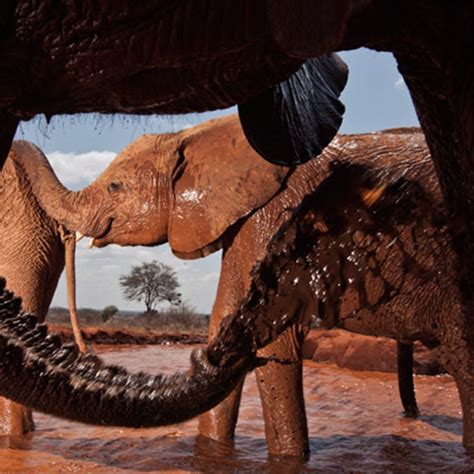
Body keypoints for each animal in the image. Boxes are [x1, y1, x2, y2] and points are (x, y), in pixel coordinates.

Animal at [13, 113, 452, 458]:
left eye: (115, 187)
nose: (18, 142)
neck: (194, 134)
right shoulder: (248, 224)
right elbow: (224, 323)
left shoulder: (276, 215)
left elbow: (273, 342)